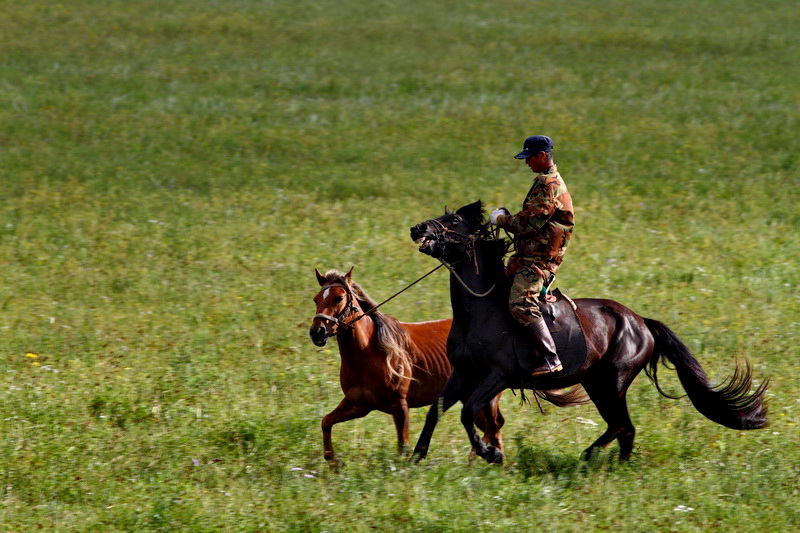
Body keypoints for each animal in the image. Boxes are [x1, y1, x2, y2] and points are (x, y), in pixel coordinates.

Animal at [412, 202, 768, 464]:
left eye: (453, 220)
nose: (418, 228)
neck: (481, 309)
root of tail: (641, 322)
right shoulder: (463, 373)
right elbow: (435, 411)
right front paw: (416, 458)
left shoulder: (497, 376)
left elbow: (467, 412)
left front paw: (491, 453)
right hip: (597, 384)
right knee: (624, 429)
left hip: (611, 385)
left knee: (623, 425)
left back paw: (596, 459)